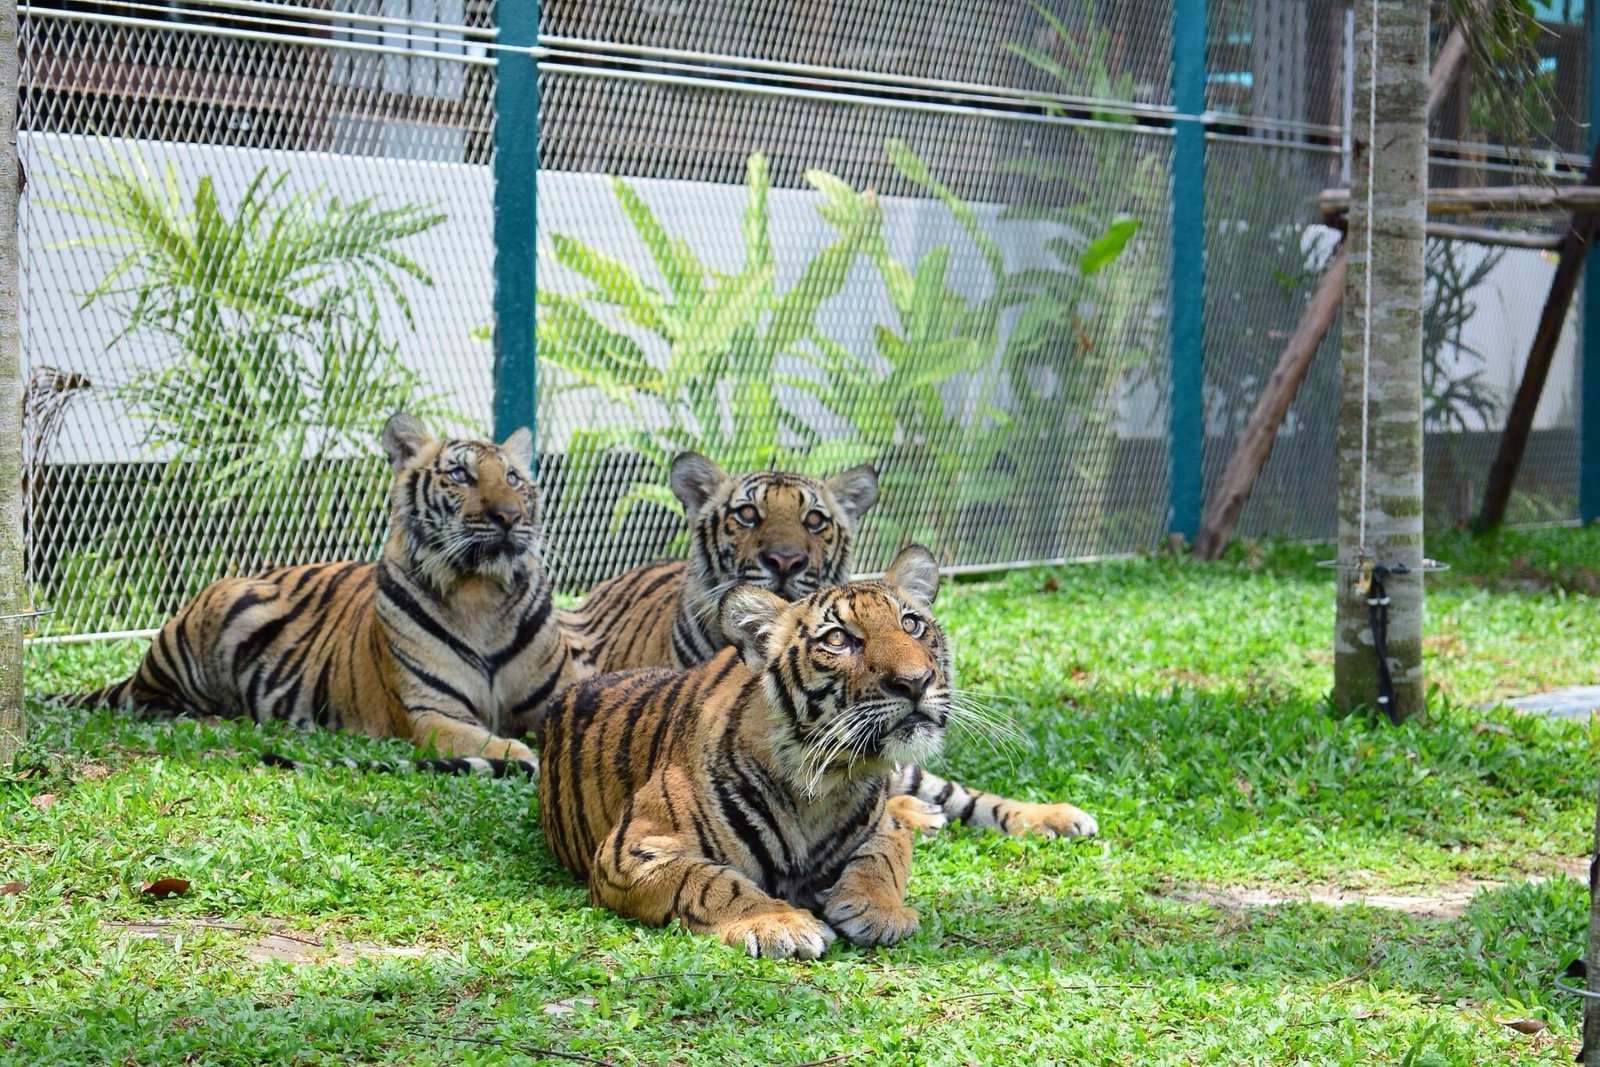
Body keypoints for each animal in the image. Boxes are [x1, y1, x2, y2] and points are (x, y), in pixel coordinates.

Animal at [61, 413, 578, 763]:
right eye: (460, 475)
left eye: (512, 478)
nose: (510, 516)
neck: (479, 594)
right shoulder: (430, 712)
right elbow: (484, 740)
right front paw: (520, 755)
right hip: (211, 621)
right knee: (158, 706)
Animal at [538, 546, 956, 959]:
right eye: (838, 639)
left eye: (912, 625)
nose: (915, 682)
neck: (826, 781)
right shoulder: (631, 850)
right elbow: (713, 882)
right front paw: (779, 922)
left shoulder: (879, 825)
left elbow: (883, 856)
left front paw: (879, 909)